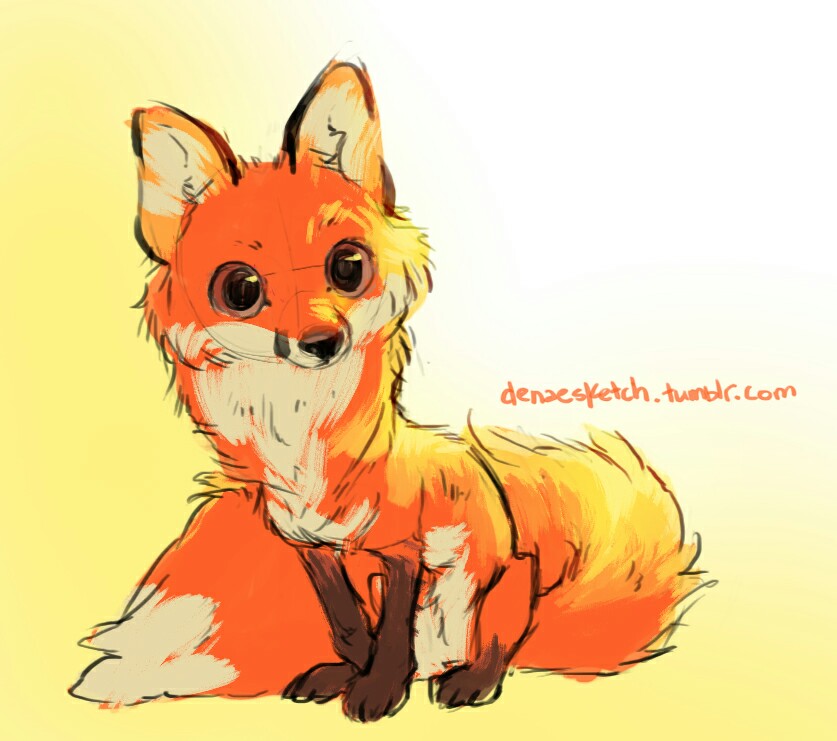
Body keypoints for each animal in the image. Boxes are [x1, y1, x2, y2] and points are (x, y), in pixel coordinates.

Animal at [70, 58, 710, 722]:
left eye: (347, 266)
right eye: (241, 289)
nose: (322, 341)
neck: (302, 436)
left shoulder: (403, 551)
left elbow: (392, 631)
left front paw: (379, 690)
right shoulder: (313, 551)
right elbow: (351, 625)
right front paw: (344, 673)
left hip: (502, 584)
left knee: (498, 642)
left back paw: (468, 679)